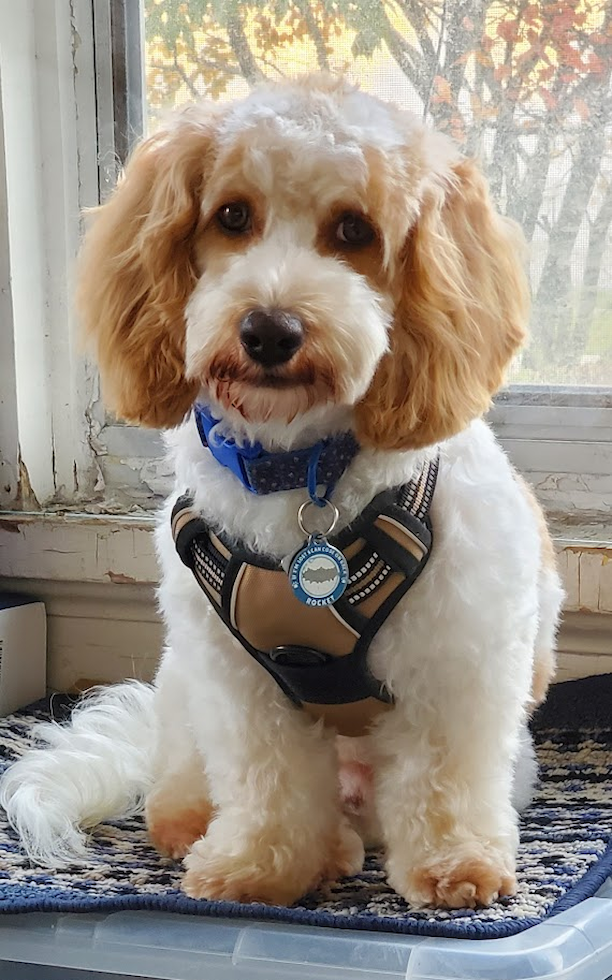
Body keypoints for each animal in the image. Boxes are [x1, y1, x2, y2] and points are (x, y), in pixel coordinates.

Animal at [0, 76, 564, 912]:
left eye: (355, 228)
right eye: (233, 215)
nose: (270, 329)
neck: (301, 472)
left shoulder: (456, 661)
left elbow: (443, 779)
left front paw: (455, 864)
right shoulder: (241, 683)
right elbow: (270, 781)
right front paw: (261, 866)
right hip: (185, 693)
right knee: (183, 792)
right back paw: (249, 839)